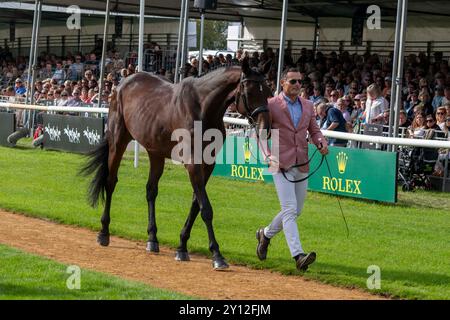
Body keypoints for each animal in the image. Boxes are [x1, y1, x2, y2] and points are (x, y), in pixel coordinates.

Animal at [80, 57, 270, 270]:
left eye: (268, 92)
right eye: (250, 92)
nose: (265, 127)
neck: (202, 108)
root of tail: (122, 84)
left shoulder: (208, 163)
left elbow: (196, 203)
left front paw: (182, 246)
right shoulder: (192, 163)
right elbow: (206, 208)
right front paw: (217, 254)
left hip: (155, 152)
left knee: (151, 190)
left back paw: (152, 239)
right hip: (118, 141)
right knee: (111, 182)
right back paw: (104, 232)